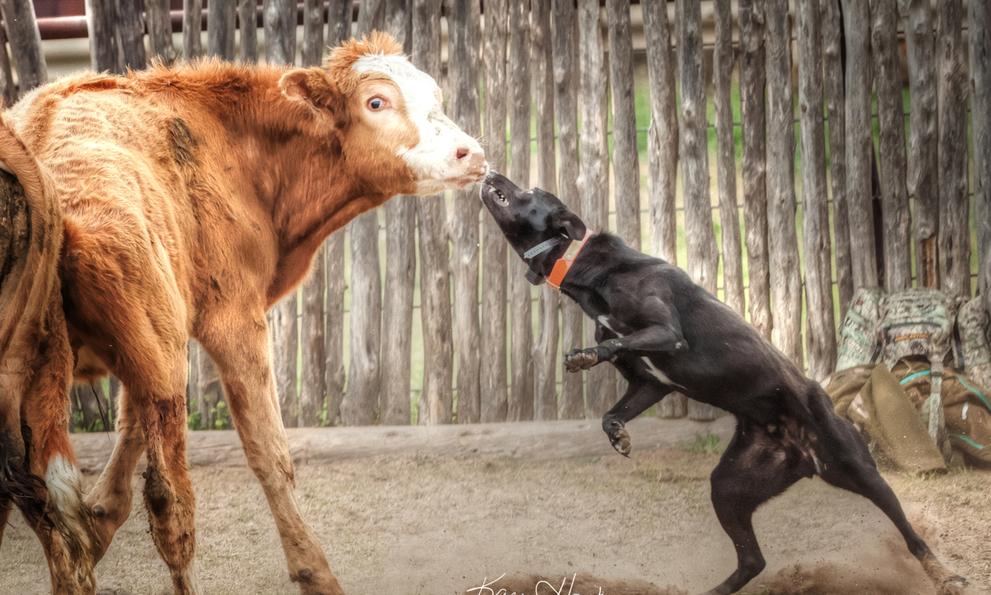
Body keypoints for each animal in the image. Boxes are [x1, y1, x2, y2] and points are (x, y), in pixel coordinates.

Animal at [0, 33, 484, 595]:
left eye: (436, 93)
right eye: (376, 102)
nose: (471, 153)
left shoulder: (157, 333)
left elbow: (127, 428)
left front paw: (101, 516)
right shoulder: (231, 319)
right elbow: (269, 453)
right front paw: (314, 571)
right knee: (169, 503)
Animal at [480, 172, 968, 595]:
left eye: (531, 190)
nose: (493, 174)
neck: (584, 265)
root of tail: (802, 453)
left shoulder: (666, 334)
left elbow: (619, 341)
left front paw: (582, 358)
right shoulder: (649, 382)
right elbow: (613, 407)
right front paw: (618, 434)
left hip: (856, 467)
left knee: (908, 531)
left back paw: (942, 574)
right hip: (730, 486)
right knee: (753, 560)